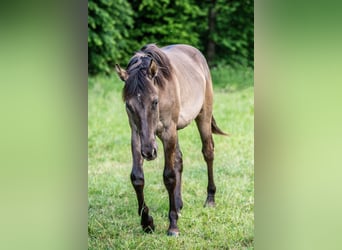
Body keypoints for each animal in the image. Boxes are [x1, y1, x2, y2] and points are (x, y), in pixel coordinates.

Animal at [115, 43, 227, 236]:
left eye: (154, 101)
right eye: (129, 106)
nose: (149, 152)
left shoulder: (168, 132)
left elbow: (169, 176)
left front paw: (173, 225)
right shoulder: (137, 135)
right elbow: (137, 178)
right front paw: (147, 222)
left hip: (203, 116)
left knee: (208, 152)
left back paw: (210, 199)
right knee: (178, 160)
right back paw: (179, 204)